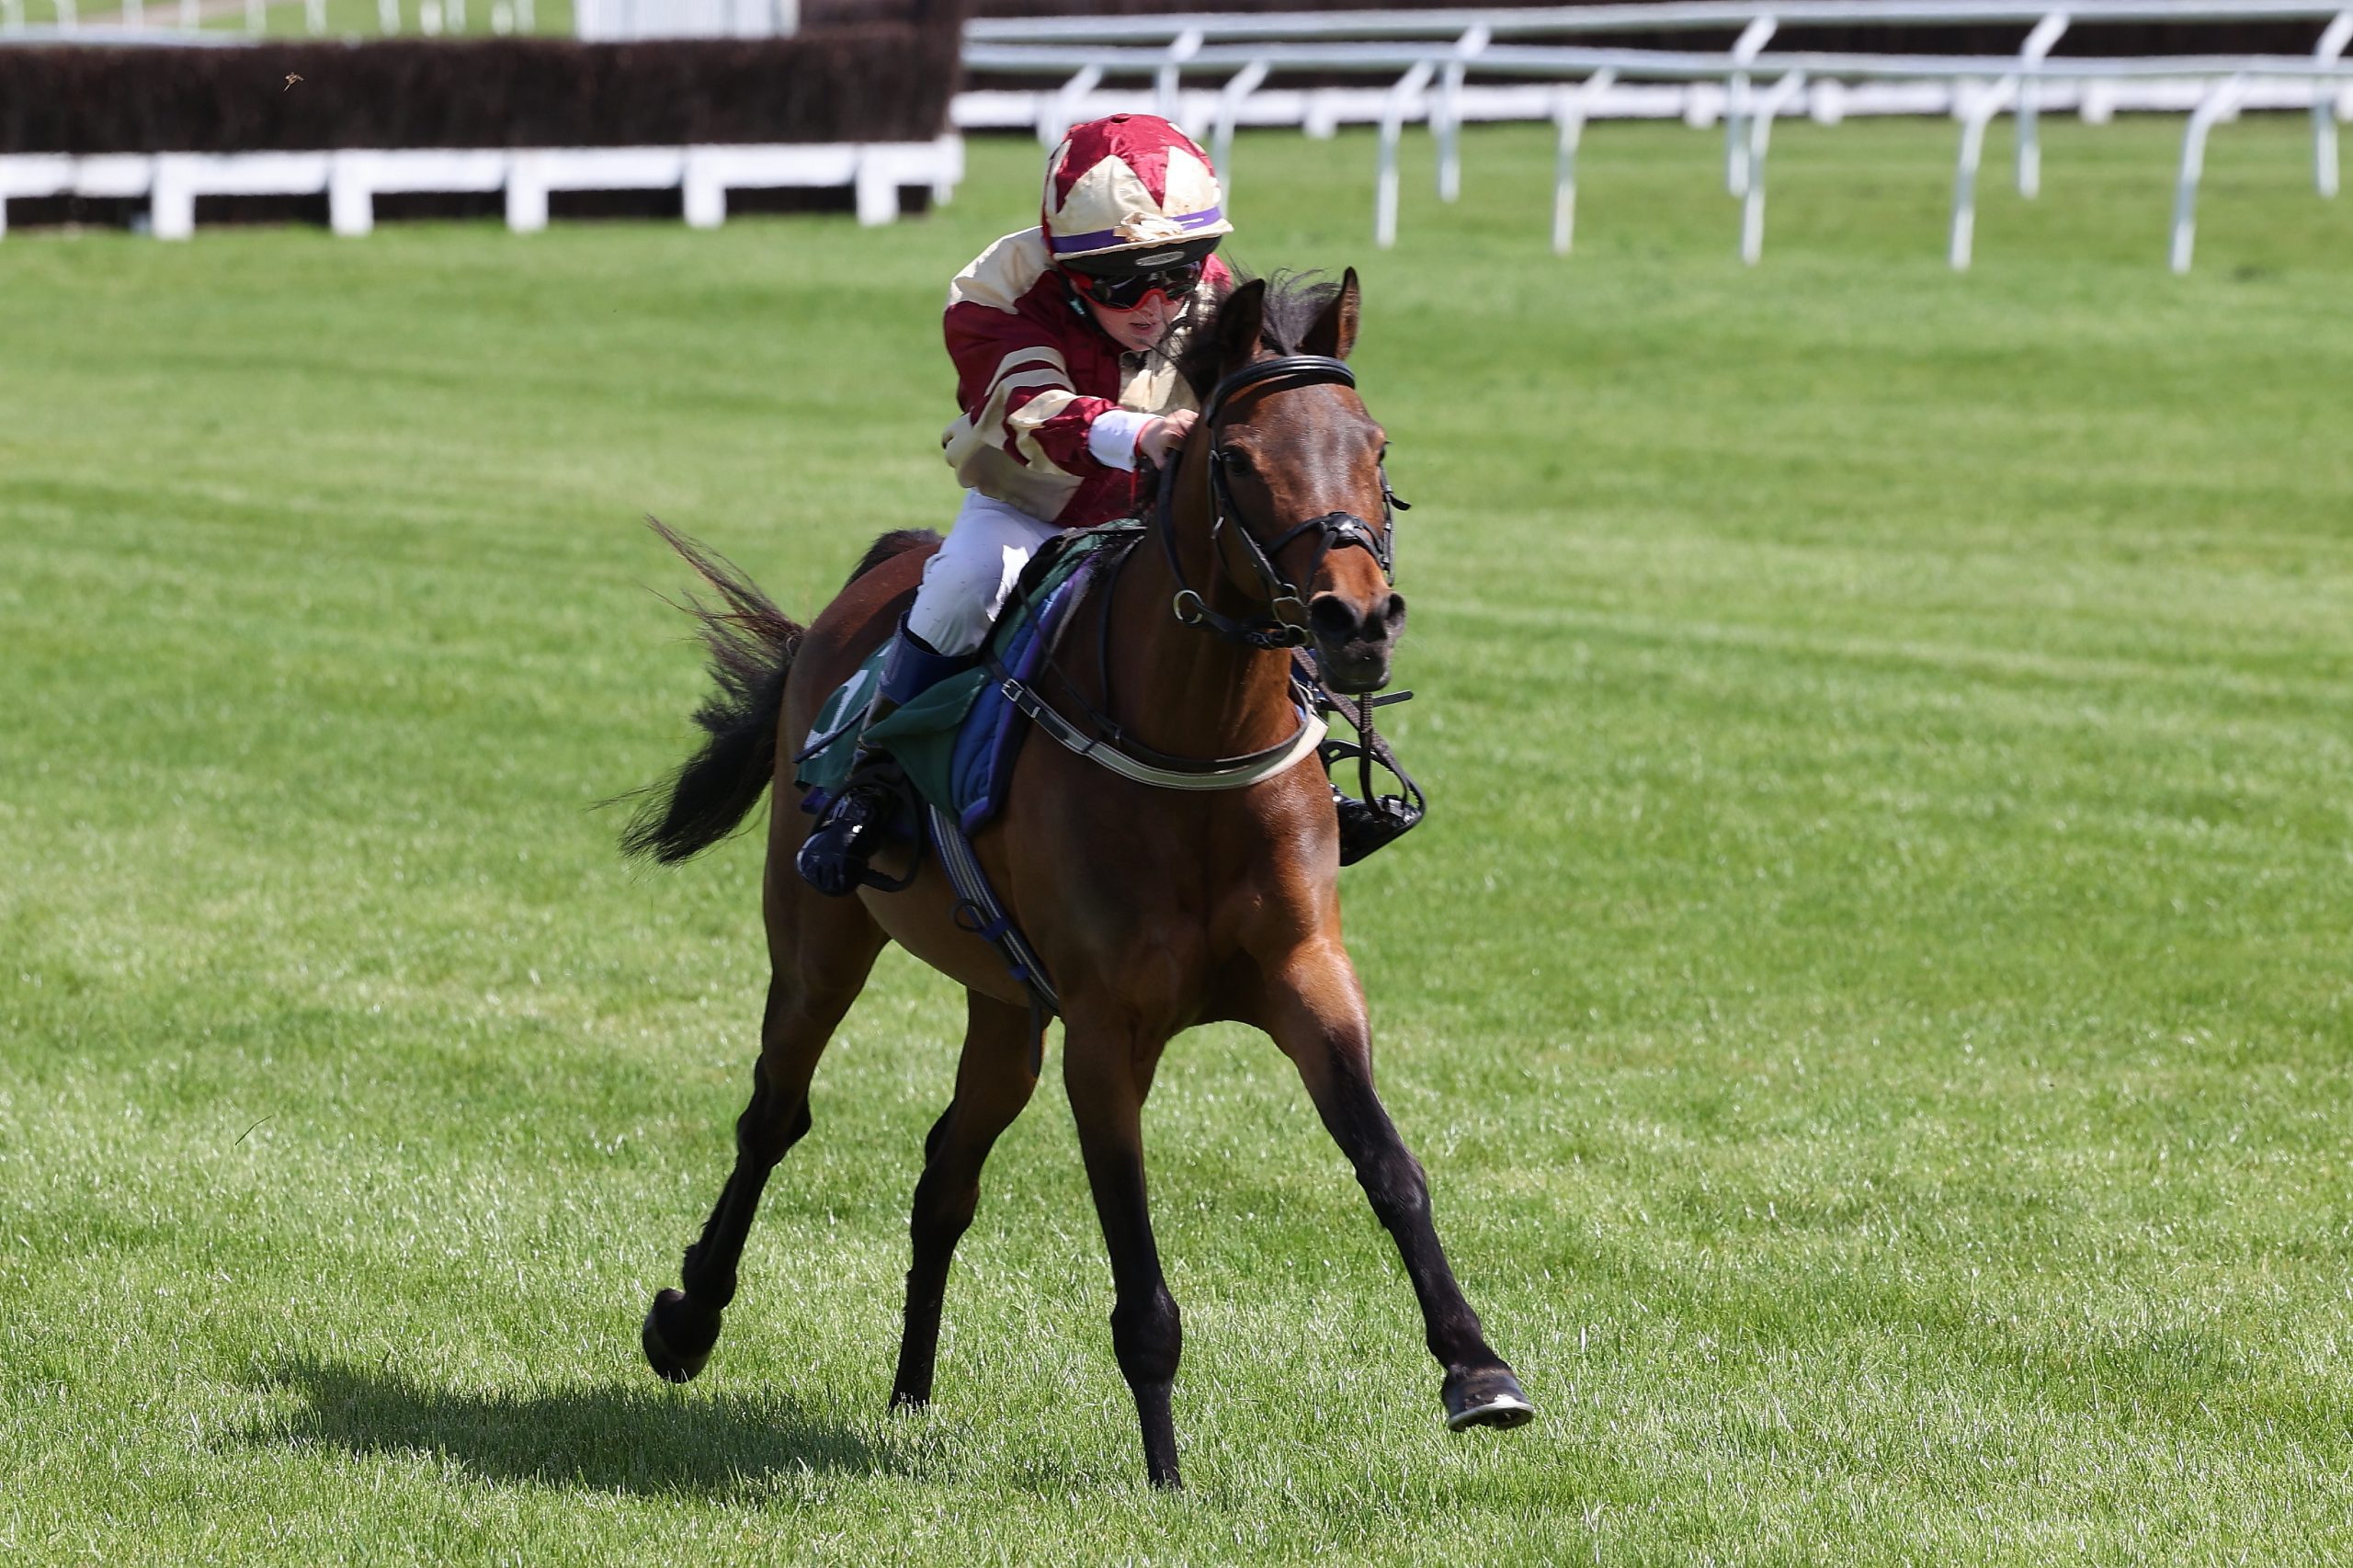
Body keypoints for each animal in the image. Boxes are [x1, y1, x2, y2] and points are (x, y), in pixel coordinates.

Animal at [621, 269, 1532, 1489]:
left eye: (1375, 445)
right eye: (1236, 457)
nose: (1358, 618)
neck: (1194, 750)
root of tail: (872, 579)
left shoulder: (1310, 978)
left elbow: (1389, 1163)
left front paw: (1477, 1367)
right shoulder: (1107, 1029)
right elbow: (1134, 1253)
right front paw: (1164, 1468)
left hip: (1005, 1001)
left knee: (944, 1172)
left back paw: (910, 1393)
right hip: (819, 937)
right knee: (774, 1114)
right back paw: (689, 1318)